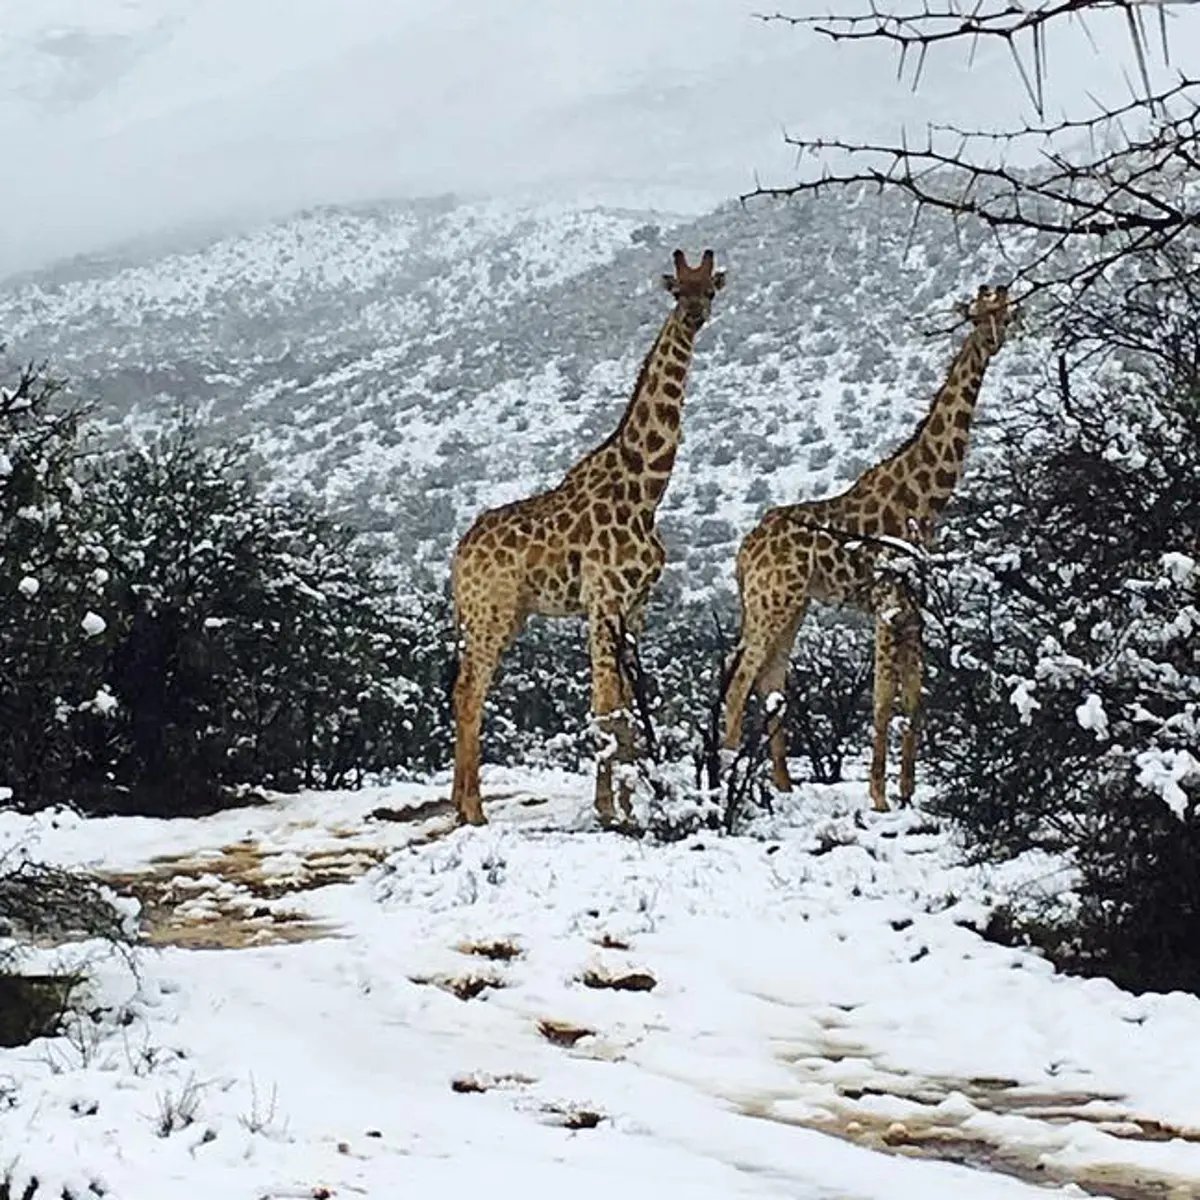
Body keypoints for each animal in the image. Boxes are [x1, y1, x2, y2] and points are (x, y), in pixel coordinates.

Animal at [451, 248, 724, 830]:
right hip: (491, 612)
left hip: (504, 615)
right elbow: (604, 706)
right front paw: (609, 809)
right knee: (469, 692)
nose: (694, 317)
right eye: (677, 291)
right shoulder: (603, 600)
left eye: (710, 288)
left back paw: (461, 804)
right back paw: (472, 811)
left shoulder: (636, 606)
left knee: (465, 689)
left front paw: (633, 805)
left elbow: (626, 709)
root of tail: (458, 555)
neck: (646, 490)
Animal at [720, 282, 1012, 811]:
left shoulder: (914, 608)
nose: (996, 338)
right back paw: (728, 782)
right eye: (979, 313)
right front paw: (878, 796)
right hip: (771, 602)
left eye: (1007, 307)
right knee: (740, 682)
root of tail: (743, 552)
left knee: (771, 682)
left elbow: (915, 697)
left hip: (791, 605)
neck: (925, 499)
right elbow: (881, 699)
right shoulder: (887, 602)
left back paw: (783, 785)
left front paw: (908, 791)